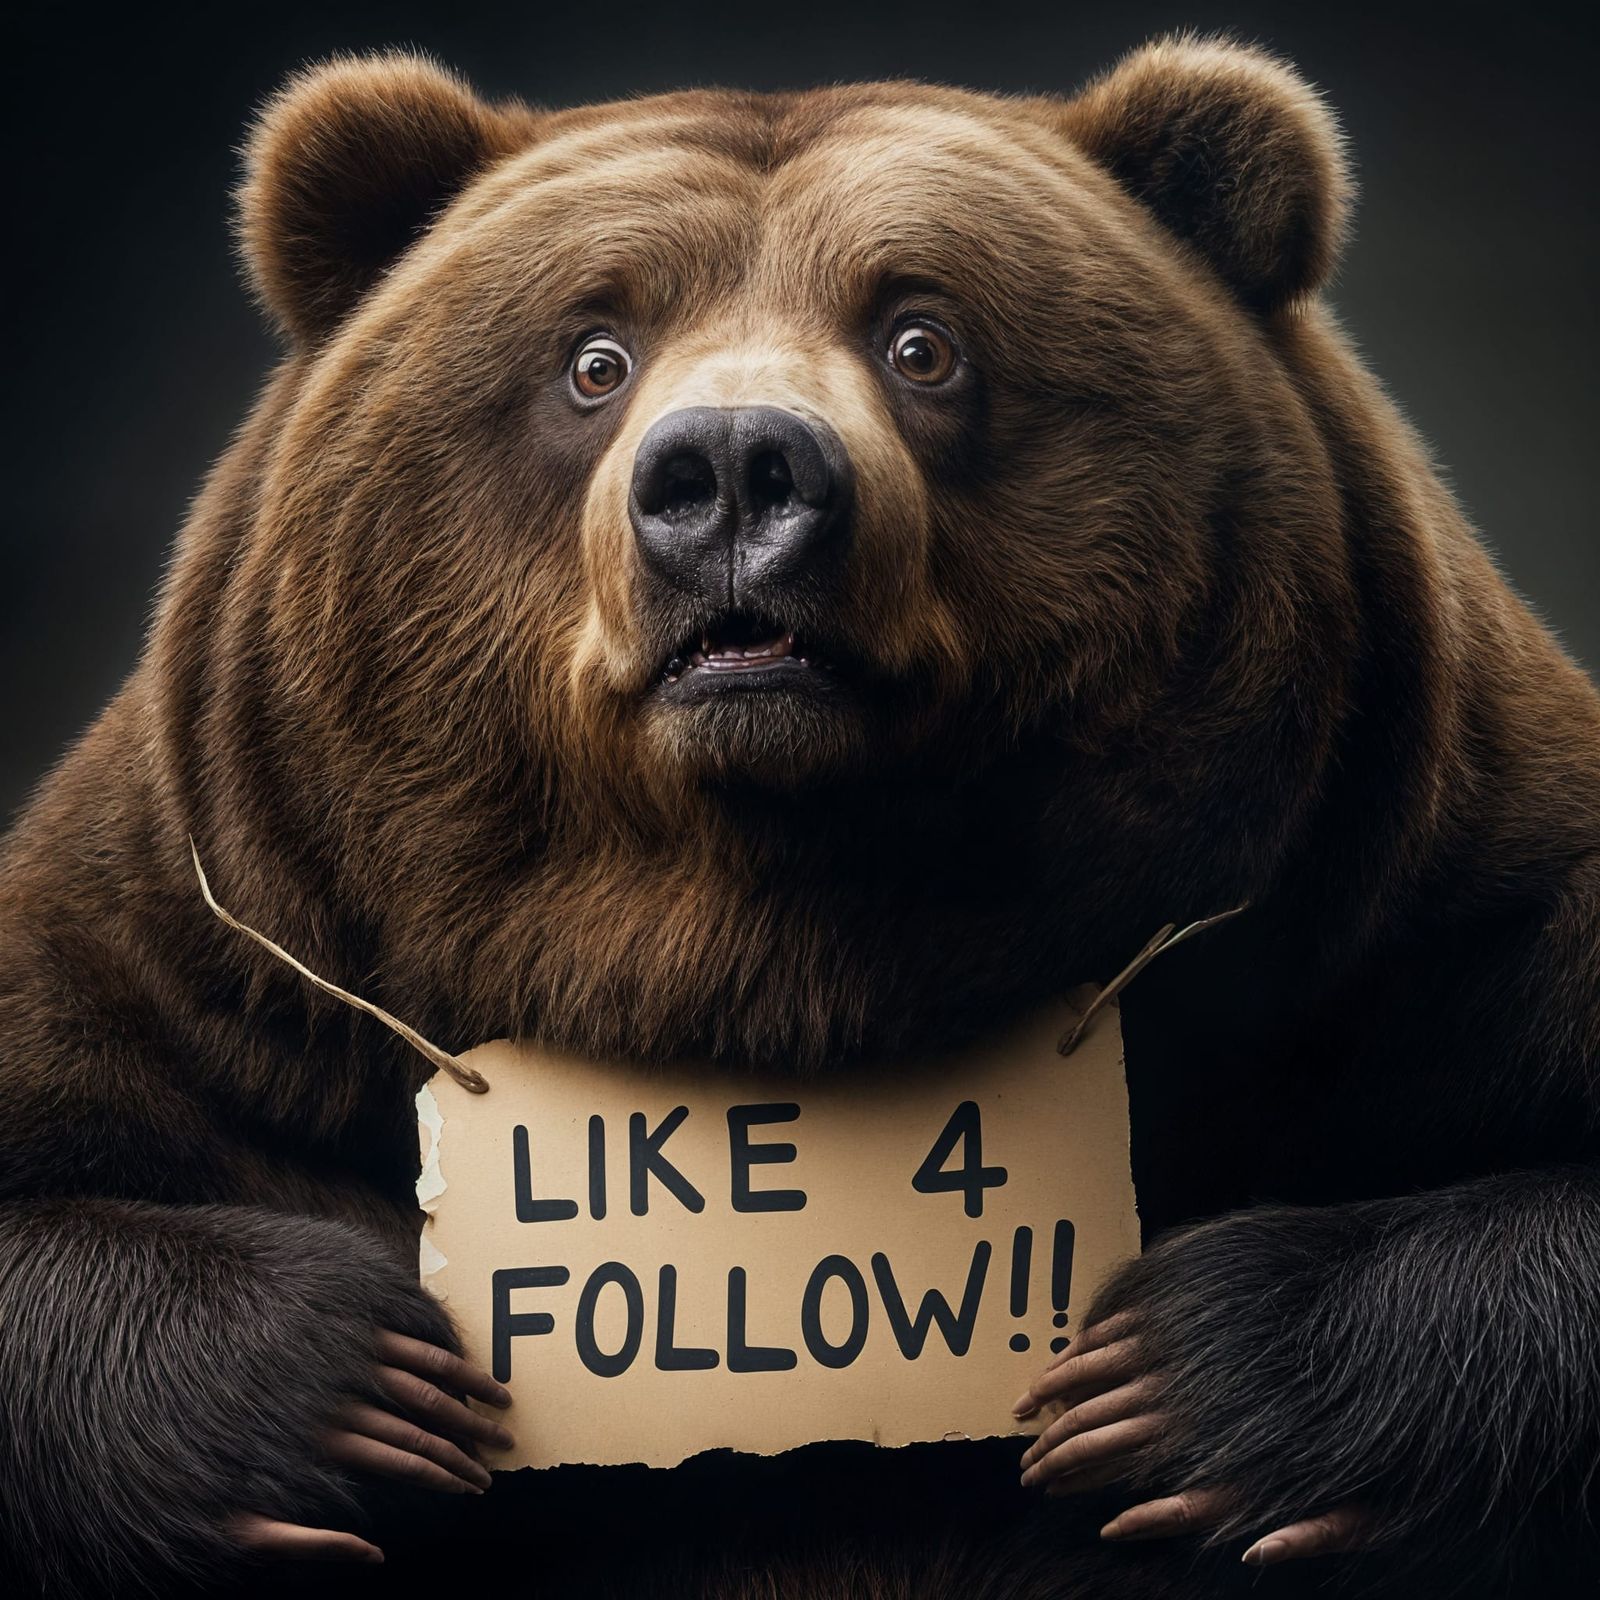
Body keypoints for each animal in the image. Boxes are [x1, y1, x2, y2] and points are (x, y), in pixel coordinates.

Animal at [2, 33, 1597, 1600]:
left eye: (923, 338)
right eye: (593, 356)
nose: (731, 471)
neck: (769, 949)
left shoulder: (1409, 934)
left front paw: (1161, 1377)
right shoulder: (215, 973)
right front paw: (371, 1379)